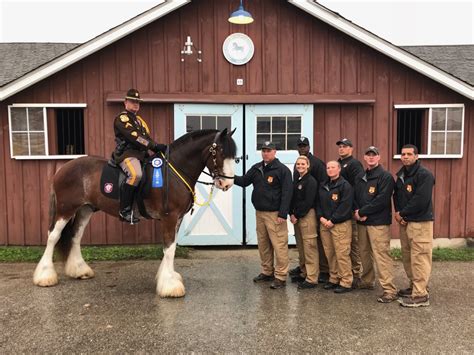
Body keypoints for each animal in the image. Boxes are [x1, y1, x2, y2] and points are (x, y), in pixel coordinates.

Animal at [32, 129, 236, 298]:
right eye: (220, 152)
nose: (227, 184)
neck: (174, 171)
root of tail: (63, 168)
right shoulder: (169, 218)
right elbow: (169, 249)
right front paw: (170, 286)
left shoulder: (177, 218)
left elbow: (170, 248)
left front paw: (166, 278)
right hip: (66, 209)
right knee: (53, 236)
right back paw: (45, 276)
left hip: (84, 209)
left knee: (75, 236)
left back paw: (79, 270)